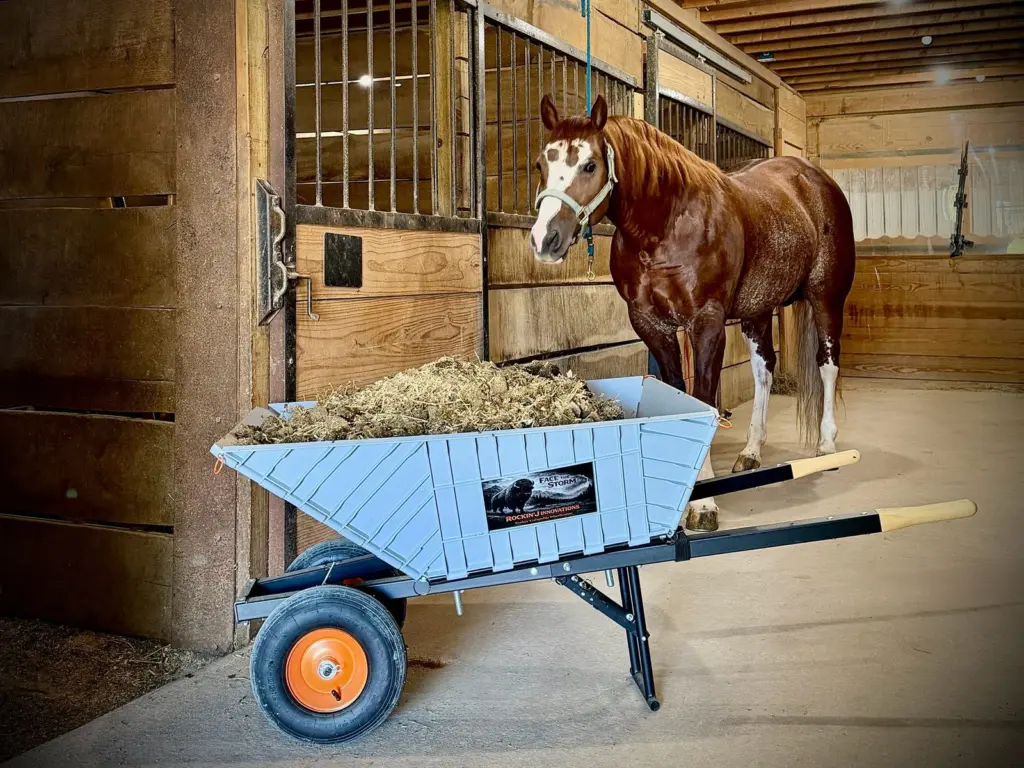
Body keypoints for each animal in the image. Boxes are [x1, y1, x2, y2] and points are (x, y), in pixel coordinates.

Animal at [528, 94, 856, 532]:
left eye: (590, 165)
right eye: (541, 164)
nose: (544, 239)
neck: (668, 224)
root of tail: (814, 179)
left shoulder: (707, 323)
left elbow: (704, 400)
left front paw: (703, 504)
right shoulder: (651, 324)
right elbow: (681, 396)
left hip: (826, 299)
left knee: (827, 364)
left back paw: (826, 445)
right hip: (757, 310)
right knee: (764, 369)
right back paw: (751, 451)